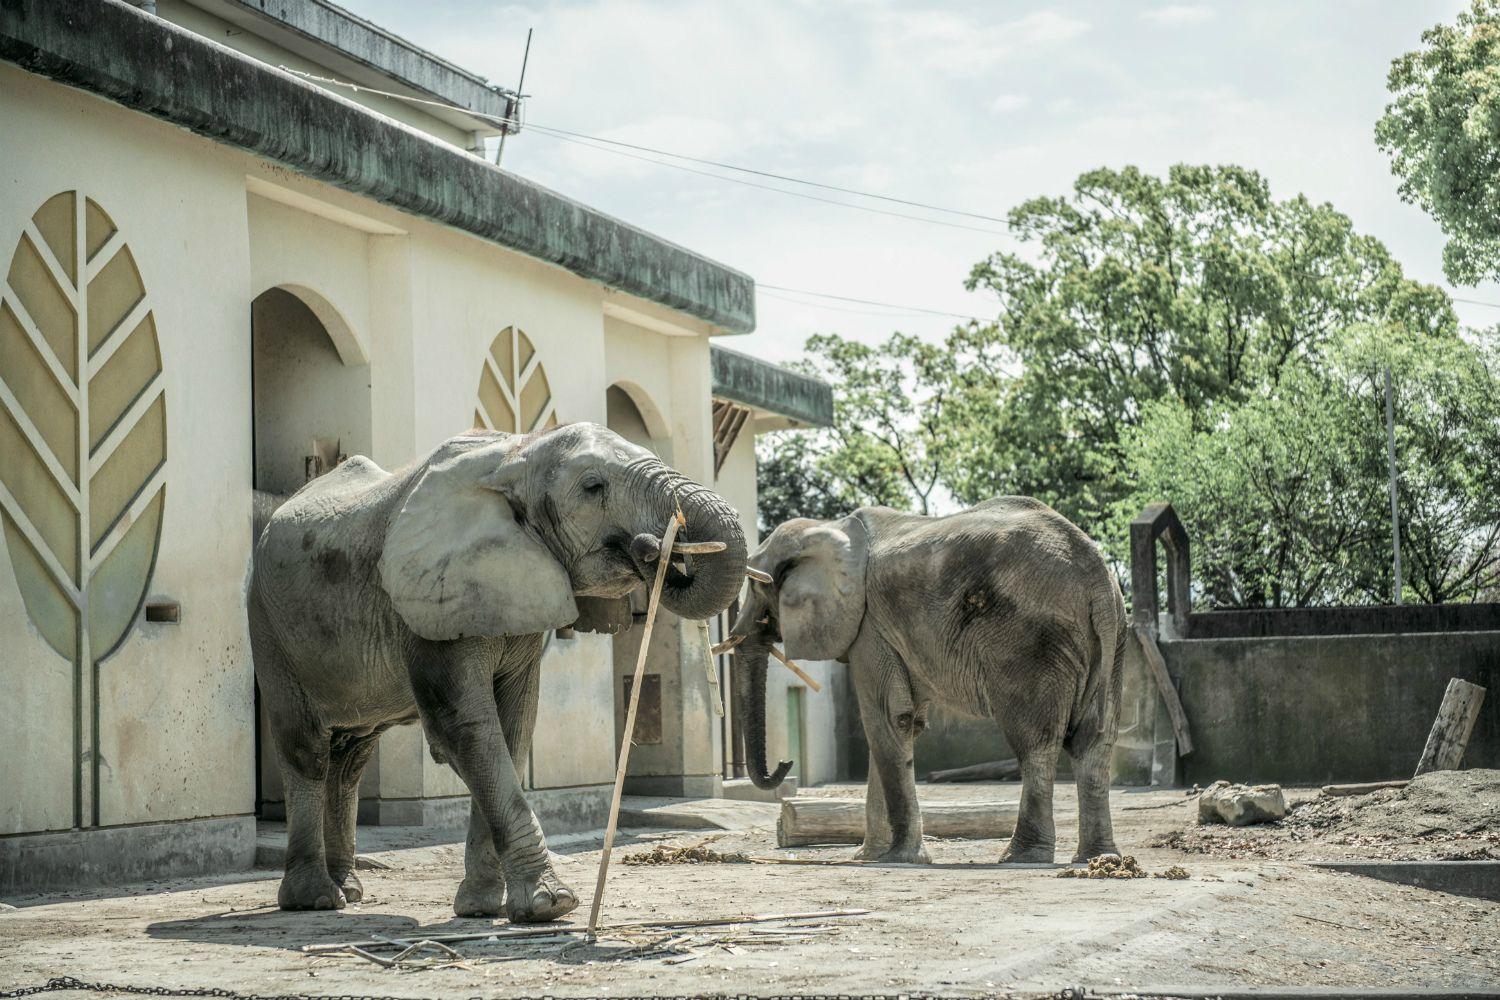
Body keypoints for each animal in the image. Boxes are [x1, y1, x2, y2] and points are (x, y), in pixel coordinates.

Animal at [249, 422, 747, 923]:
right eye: (593, 487)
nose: (652, 546)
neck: (514, 453)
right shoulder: (435, 593)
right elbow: (465, 729)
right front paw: (551, 905)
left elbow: (514, 728)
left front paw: (481, 907)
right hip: (268, 624)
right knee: (307, 748)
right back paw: (314, 899)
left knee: (352, 757)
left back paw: (349, 891)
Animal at [726, 503, 1128, 863]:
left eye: (757, 587)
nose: (786, 762)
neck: (828, 527)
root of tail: (1096, 576)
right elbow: (901, 727)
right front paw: (870, 858)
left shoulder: (870, 625)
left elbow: (888, 721)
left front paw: (899, 858)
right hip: (1112, 639)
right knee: (1095, 742)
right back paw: (1098, 857)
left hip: (1030, 641)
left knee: (1036, 742)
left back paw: (1021, 857)